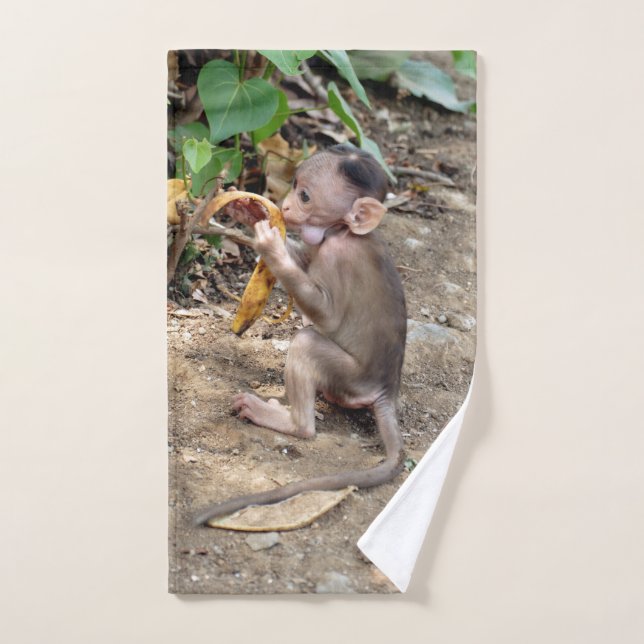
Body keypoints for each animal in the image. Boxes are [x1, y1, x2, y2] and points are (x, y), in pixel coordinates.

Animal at [194, 144, 407, 526]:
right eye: (293, 186)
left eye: (305, 196)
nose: (287, 206)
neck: (342, 232)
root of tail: (386, 390)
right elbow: (305, 261)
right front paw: (247, 210)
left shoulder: (338, 256)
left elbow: (326, 314)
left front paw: (271, 246)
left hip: (352, 379)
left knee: (307, 343)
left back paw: (290, 422)